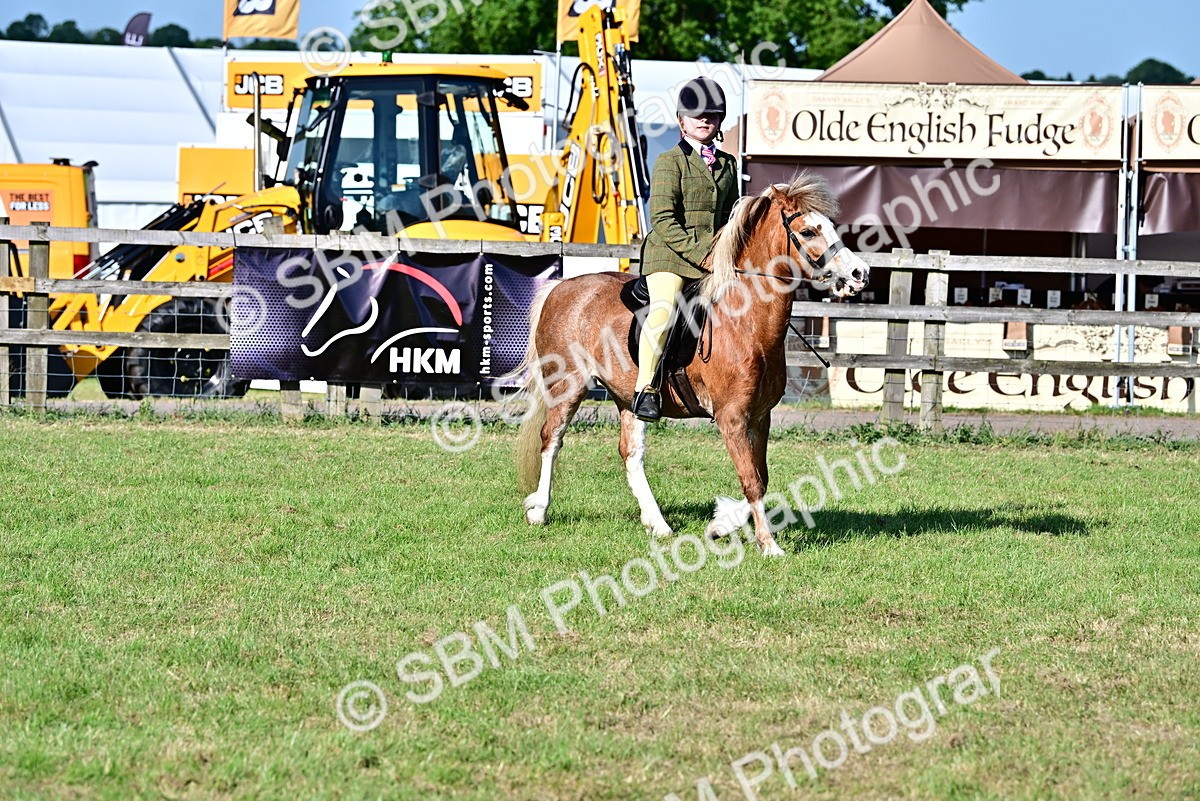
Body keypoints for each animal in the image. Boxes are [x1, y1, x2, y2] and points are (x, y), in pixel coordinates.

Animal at [512, 174, 870, 556]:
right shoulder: (731, 418)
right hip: (568, 387)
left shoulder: (759, 417)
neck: (744, 321)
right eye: (808, 231)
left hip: (627, 397)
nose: (860, 273)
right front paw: (768, 544)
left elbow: (760, 477)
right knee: (552, 439)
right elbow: (752, 480)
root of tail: (561, 287)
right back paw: (538, 510)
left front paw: (721, 525)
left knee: (631, 454)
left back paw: (658, 524)